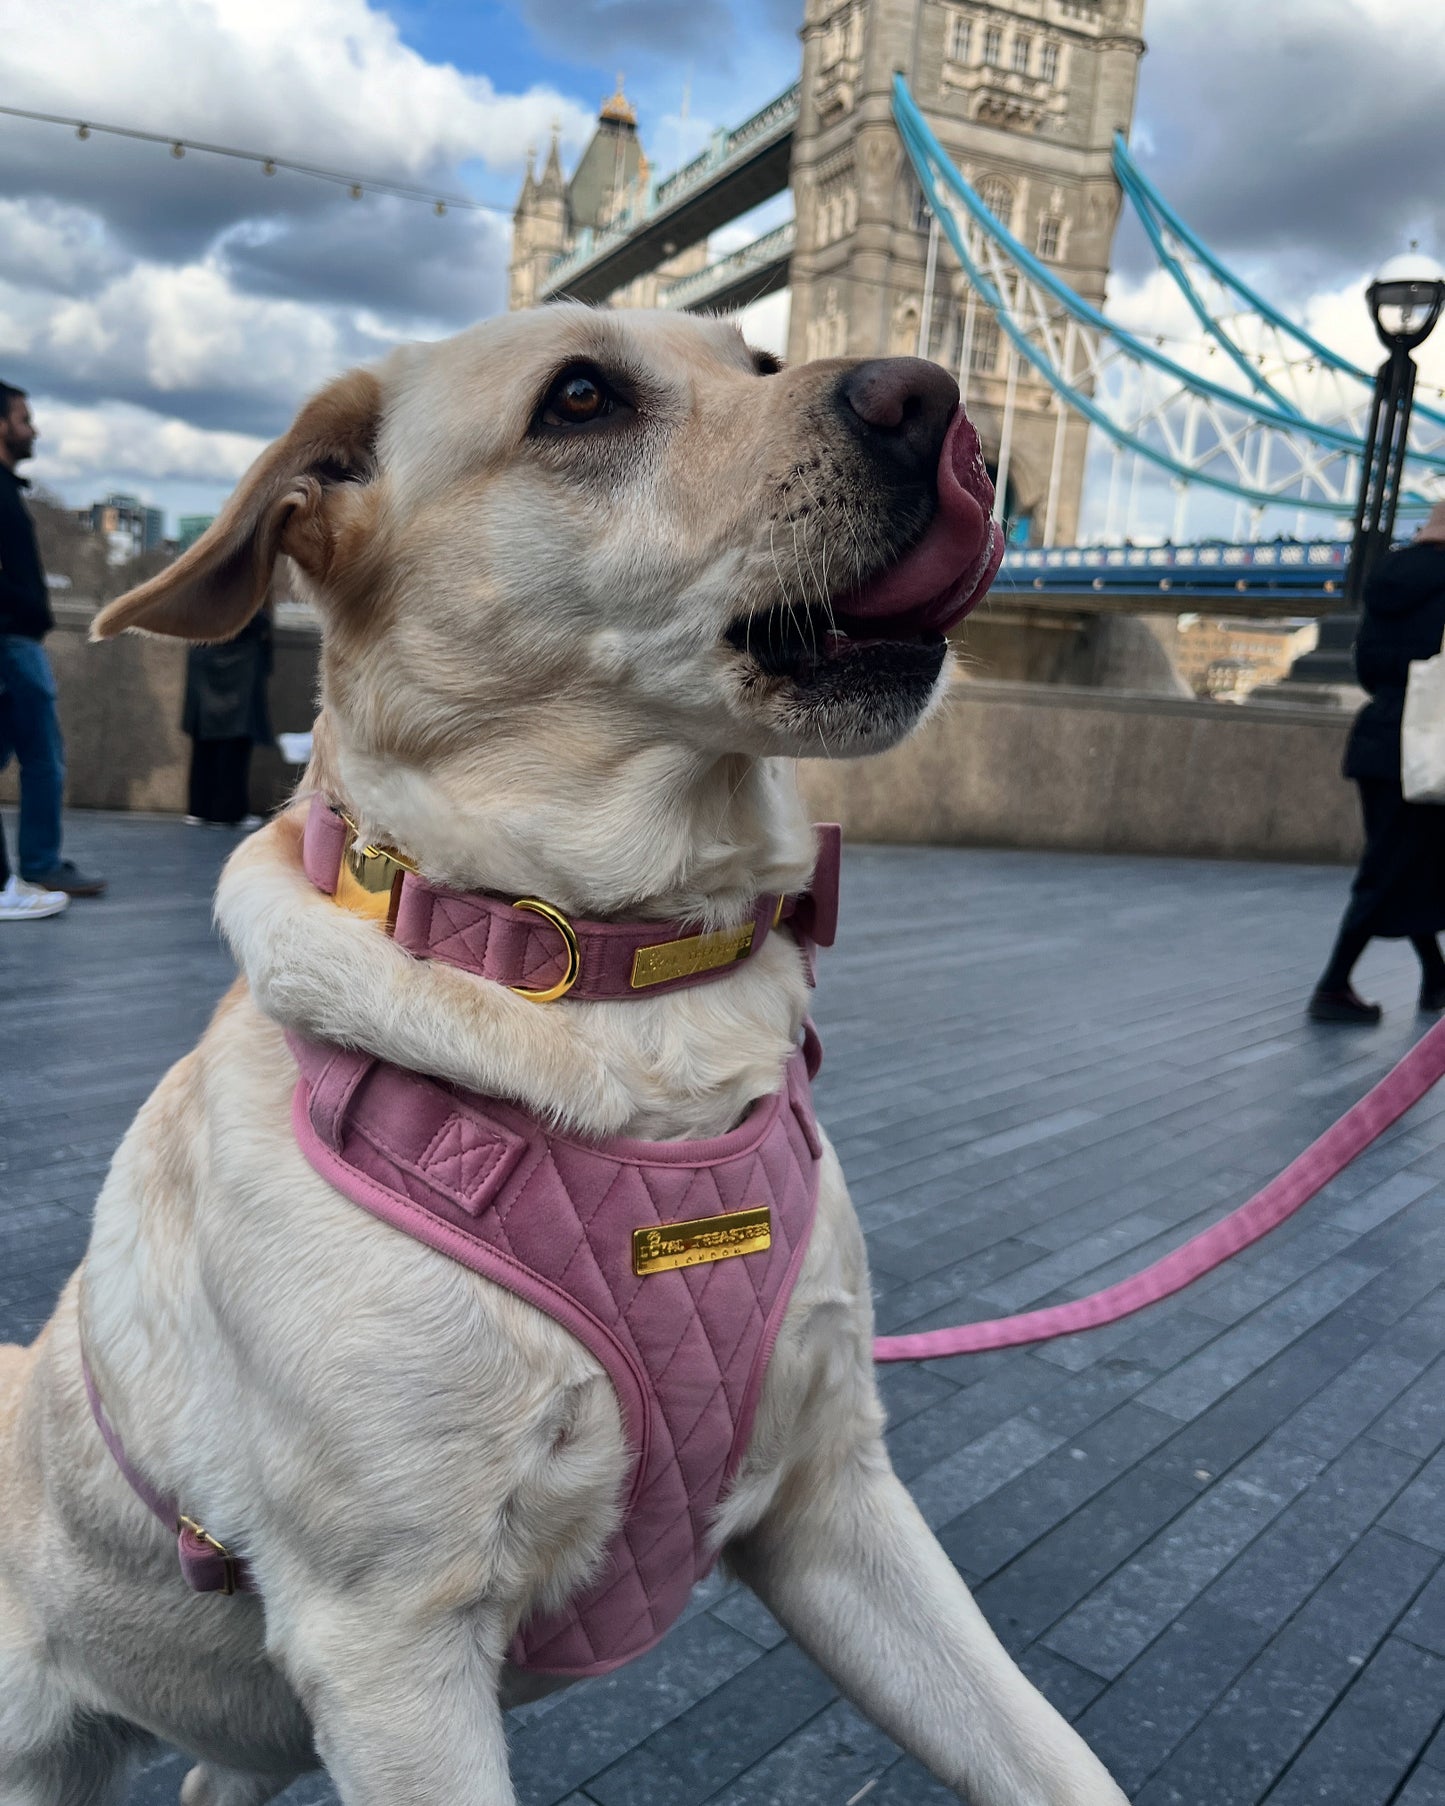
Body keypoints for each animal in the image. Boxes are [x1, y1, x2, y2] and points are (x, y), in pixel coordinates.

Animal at [0, 310, 1127, 1806]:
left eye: (758, 358)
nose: (932, 396)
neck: (611, 978)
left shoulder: (836, 1501)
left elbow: (1052, 1757)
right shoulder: (391, 1647)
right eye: (579, 399)